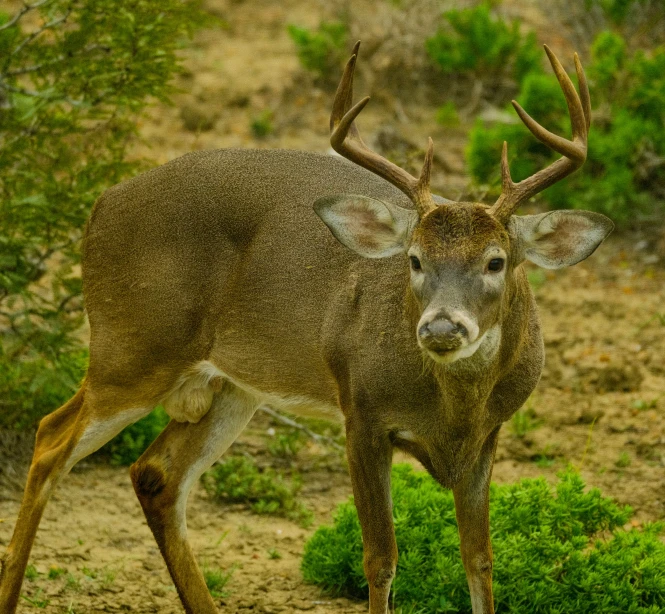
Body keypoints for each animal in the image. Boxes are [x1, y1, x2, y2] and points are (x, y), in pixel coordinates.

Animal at [0, 44, 612, 614]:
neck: (453, 406)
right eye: (414, 259)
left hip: (230, 386)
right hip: (132, 349)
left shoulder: (487, 436)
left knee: (155, 474)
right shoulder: (362, 414)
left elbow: (480, 559)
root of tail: (99, 206)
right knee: (50, 439)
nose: (441, 328)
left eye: (496, 261)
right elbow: (380, 558)